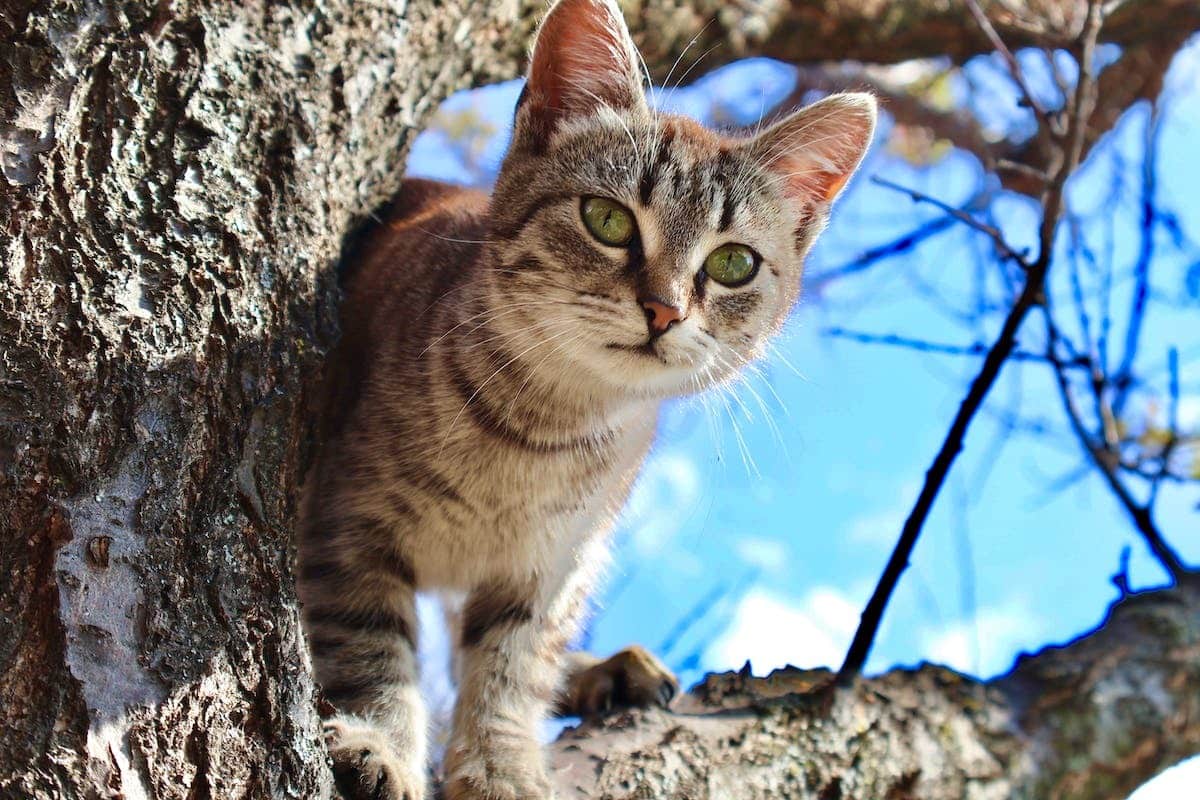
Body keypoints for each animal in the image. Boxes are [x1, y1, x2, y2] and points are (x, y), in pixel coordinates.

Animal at [295, 0, 878, 796]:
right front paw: (381, 743)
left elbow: (508, 670)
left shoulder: (552, 566)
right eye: (608, 220)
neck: (540, 430)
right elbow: (371, 651)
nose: (664, 310)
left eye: (733, 263)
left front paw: (502, 766)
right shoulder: (345, 522)